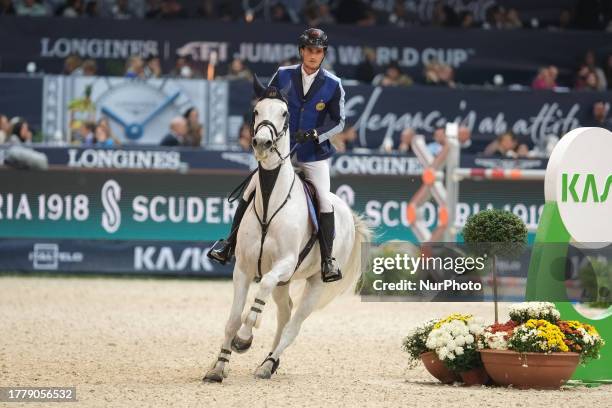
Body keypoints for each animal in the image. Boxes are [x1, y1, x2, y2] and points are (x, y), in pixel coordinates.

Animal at [203, 80, 370, 382]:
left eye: (284, 114)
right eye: (256, 111)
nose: (262, 143)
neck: (271, 199)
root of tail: (349, 215)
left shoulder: (283, 264)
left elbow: (261, 291)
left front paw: (244, 338)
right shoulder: (243, 268)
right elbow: (232, 319)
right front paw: (218, 367)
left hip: (315, 283)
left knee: (294, 324)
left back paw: (267, 364)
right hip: (286, 282)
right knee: (285, 312)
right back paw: (269, 363)